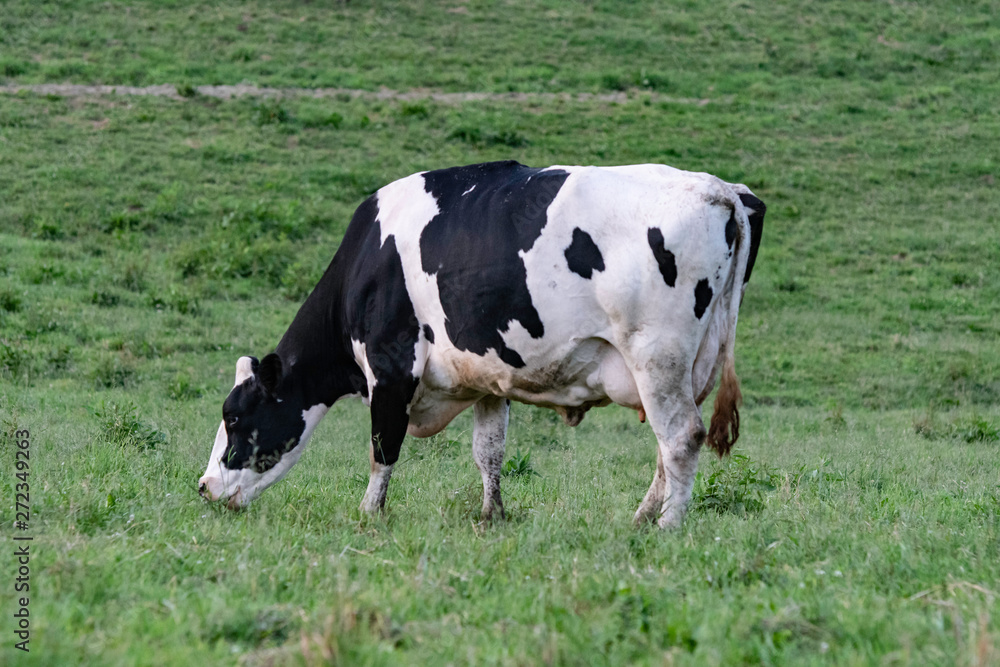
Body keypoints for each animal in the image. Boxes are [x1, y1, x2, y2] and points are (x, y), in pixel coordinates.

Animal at [201, 160, 764, 528]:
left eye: (235, 416)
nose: (204, 488)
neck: (367, 262)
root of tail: (720, 190)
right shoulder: (490, 375)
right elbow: (488, 452)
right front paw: (492, 513)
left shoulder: (392, 366)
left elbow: (383, 447)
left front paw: (368, 514)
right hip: (680, 368)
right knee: (667, 447)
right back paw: (642, 517)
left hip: (656, 356)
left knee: (681, 438)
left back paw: (667, 526)